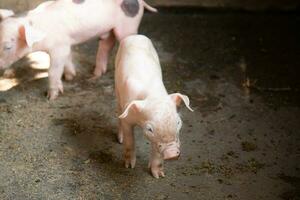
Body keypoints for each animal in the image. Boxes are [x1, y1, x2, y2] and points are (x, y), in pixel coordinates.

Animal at [0, 0, 156, 100]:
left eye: (8, 46)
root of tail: (140, 1)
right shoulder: (65, 44)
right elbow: (68, 59)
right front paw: (70, 77)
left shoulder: (59, 47)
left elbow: (53, 71)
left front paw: (51, 97)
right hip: (110, 30)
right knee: (106, 45)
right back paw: (95, 75)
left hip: (129, 25)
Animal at [113, 34, 193, 178]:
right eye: (149, 129)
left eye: (178, 122)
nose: (172, 154)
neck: (153, 95)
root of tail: (135, 36)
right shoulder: (127, 118)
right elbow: (129, 141)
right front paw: (129, 167)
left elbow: (157, 152)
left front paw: (159, 175)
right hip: (116, 85)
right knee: (118, 113)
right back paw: (119, 139)